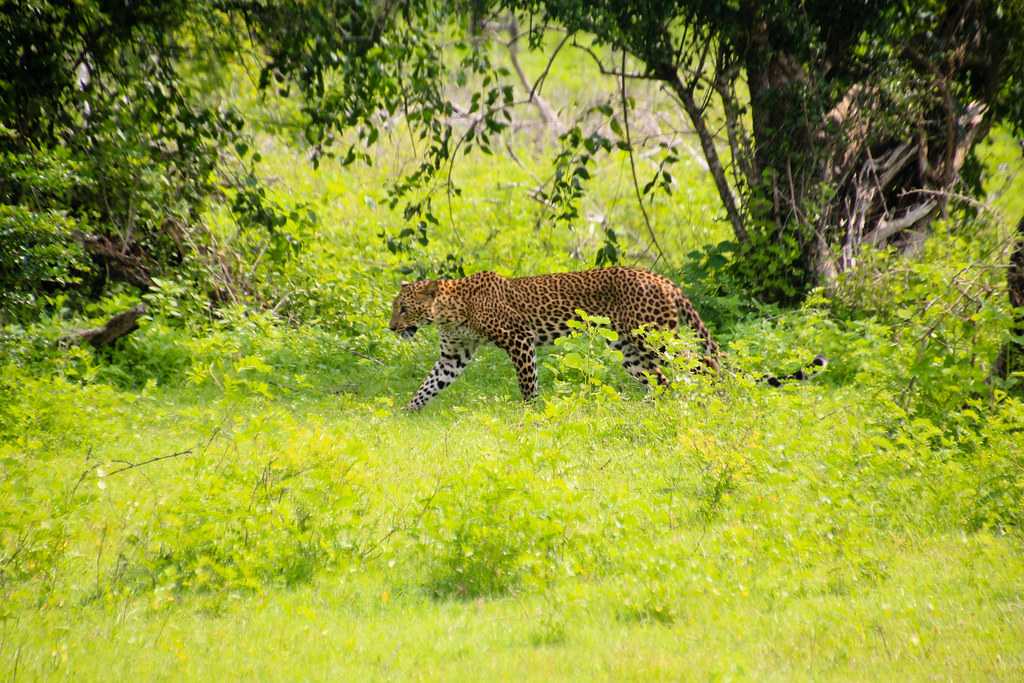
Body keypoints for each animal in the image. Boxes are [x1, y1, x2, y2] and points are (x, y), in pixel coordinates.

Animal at [387, 266, 827, 411]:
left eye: (403, 308)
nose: (392, 328)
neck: (448, 312)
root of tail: (662, 278)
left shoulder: (519, 340)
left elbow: (527, 385)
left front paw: (528, 415)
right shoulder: (453, 356)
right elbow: (429, 385)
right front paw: (405, 413)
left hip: (655, 338)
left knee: (694, 368)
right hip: (631, 350)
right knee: (664, 380)